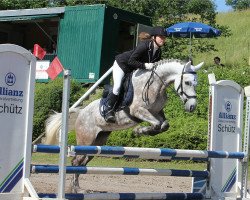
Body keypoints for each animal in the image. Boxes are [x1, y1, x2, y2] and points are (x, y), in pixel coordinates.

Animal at [44, 59, 203, 192]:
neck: (156, 84)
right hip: (86, 139)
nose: (192, 107)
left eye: (196, 84)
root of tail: (81, 112)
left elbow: (164, 125)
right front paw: (139, 131)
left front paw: (143, 131)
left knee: (82, 162)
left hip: (98, 141)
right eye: (187, 83)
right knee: (76, 161)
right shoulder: (138, 111)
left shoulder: (157, 112)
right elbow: (158, 124)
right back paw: (74, 189)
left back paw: (77, 188)